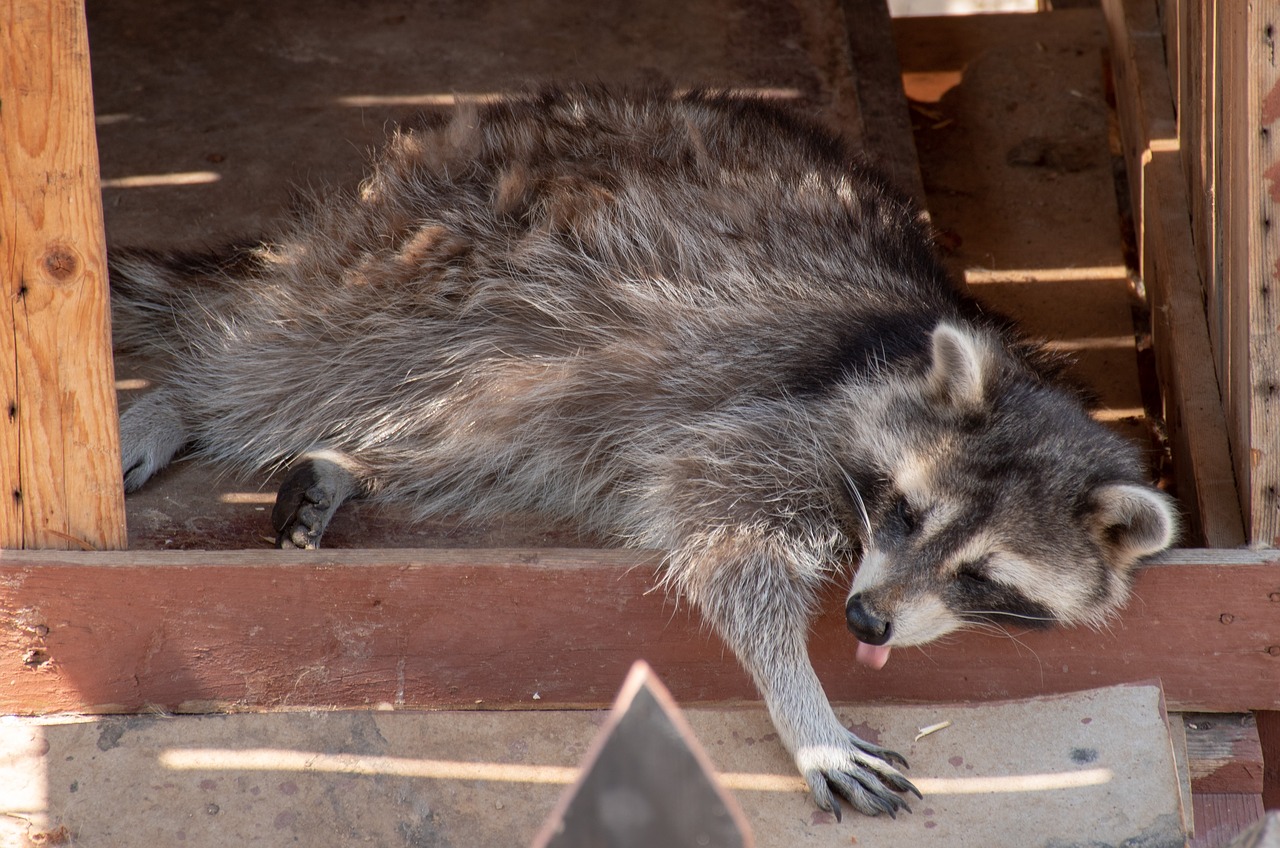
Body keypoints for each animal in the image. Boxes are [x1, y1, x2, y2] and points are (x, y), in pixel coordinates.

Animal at [112, 84, 1177, 819]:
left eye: (984, 574)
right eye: (908, 511)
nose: (867, 620)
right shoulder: (790, 421)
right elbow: (722, 533)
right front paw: (803, 705)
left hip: (535, 358)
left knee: (485, 432)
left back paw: (352, 458)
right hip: (441, 261)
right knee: (301, 357)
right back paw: (183, 398)